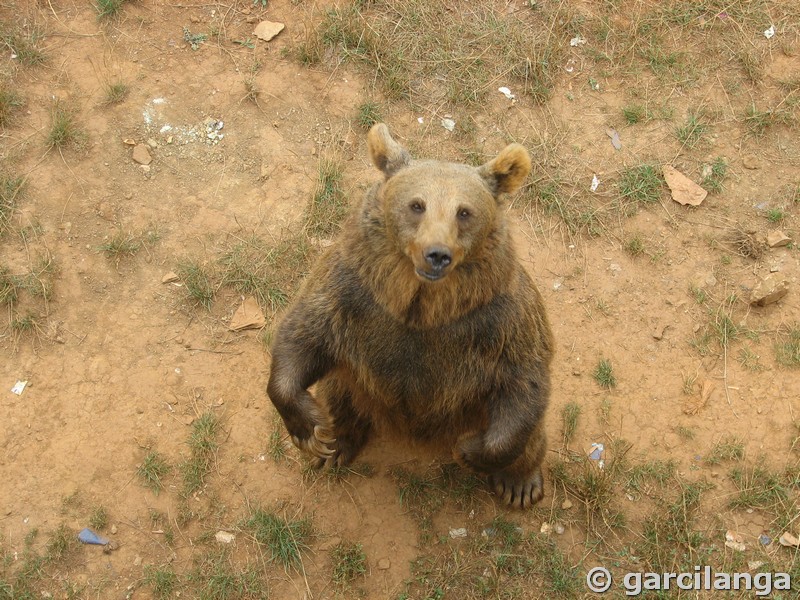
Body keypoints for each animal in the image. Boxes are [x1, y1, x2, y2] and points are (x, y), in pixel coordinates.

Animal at [266, 124, 552, 508]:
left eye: (464, 212)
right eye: (417, 205)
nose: (437, 254)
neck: (421, 305)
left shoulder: (496, 318)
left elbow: (523, 377)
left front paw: (469, 450)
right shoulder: (353, 293)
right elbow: (303, 334)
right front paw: (311, 430)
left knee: (530, 430)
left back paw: (519, 483)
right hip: (358, 381)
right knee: (339, 392)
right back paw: (337, 443)